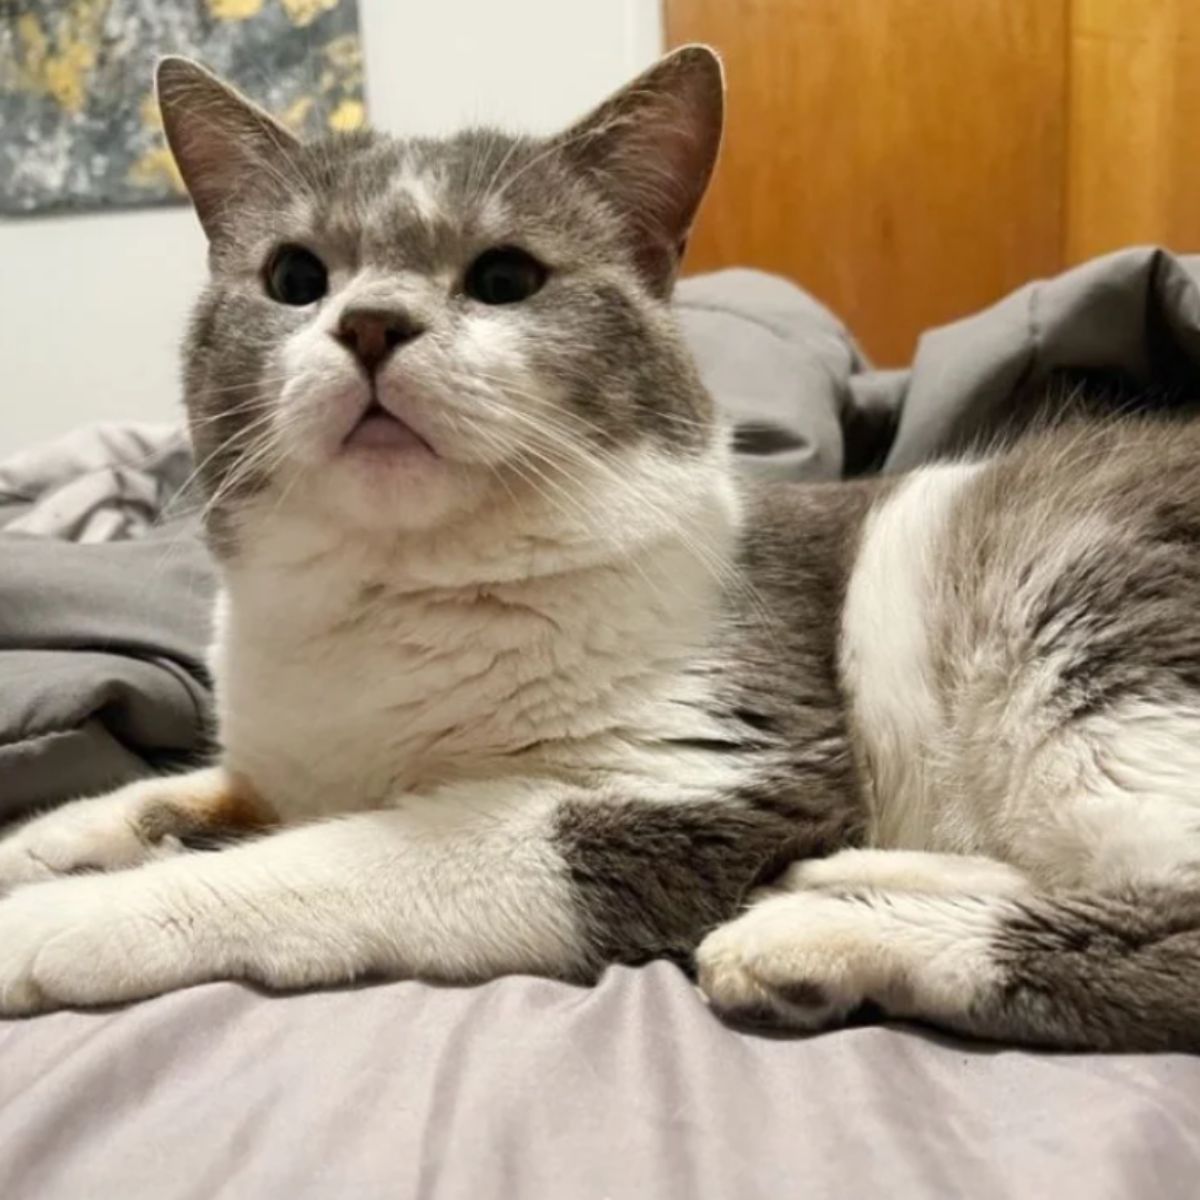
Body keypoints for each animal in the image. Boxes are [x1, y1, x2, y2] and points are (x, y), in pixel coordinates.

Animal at [2, 51, 1200, 1056]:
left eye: (504, 279)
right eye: (296, 277)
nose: (372, 323)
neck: (392, 594)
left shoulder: (708, 780)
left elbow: (336, 858)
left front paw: (57, 917)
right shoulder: (285, 763)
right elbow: (183, 790)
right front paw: (46, 844)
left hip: (1081, 624)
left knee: (1165, 920)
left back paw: (822, 939)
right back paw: (842, 879)